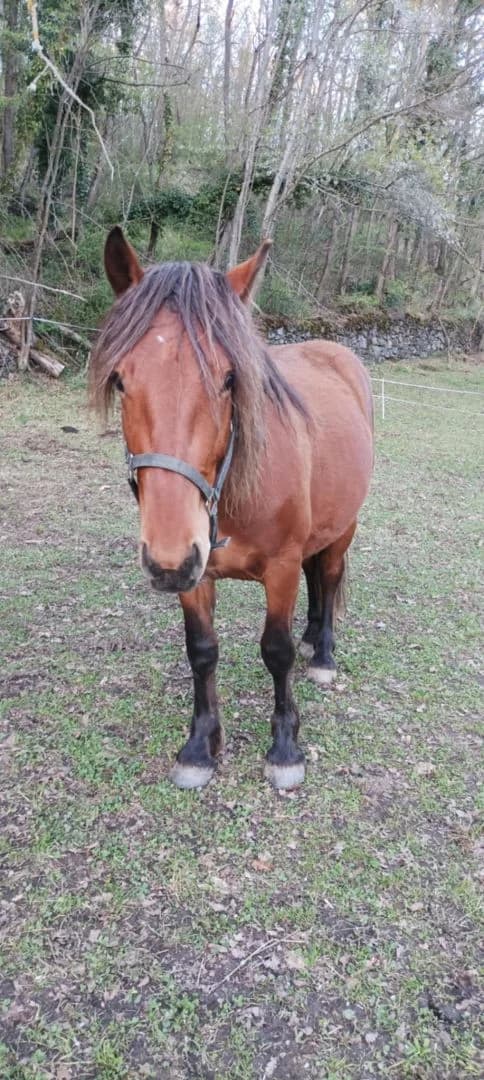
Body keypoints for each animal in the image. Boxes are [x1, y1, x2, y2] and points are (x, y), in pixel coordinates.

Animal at [89, 227, 373, 791]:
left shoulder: (280, 567)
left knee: (329, 576)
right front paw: (201, 746)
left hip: (344, 527)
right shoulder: (195, 573)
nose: (167, 559)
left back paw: (323, 654)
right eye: (121, 379)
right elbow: (202, 651)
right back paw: (313, 637)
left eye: (227, 379)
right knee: (317, 577)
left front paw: (285, 747)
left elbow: (275, 650)